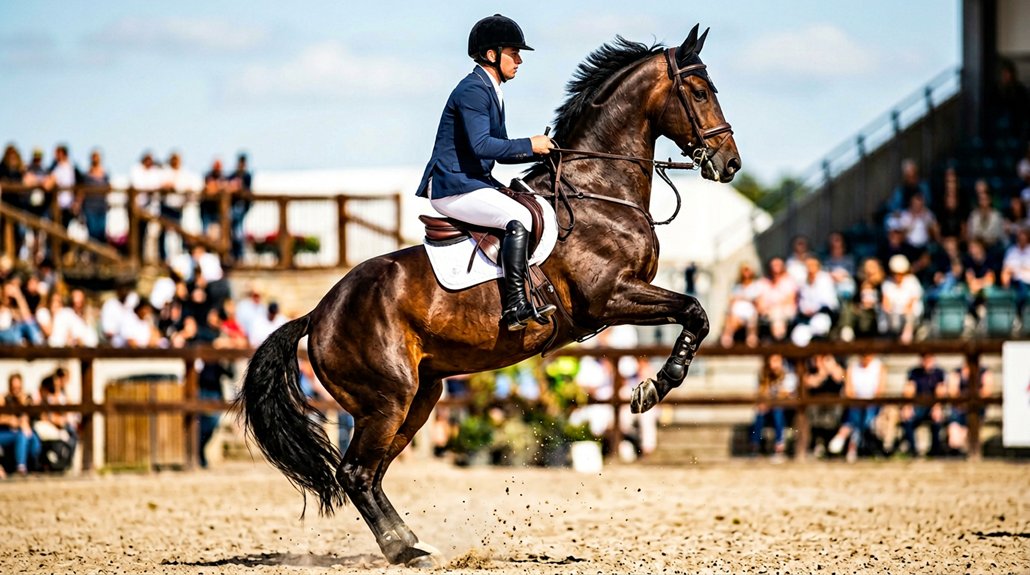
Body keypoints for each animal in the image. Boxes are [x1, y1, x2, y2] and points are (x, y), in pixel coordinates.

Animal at [238, 24, 740, 568]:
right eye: (699, 92)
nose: (730, 163)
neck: (597, 191)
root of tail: (318, 312)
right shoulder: (611, 297)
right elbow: (696, 312)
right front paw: (653, 387)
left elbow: (694, 314)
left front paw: (652, 385)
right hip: (386, 400)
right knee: (355, 473)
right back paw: (404, 549)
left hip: (419, 397)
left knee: (370, 475)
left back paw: (411, 543)